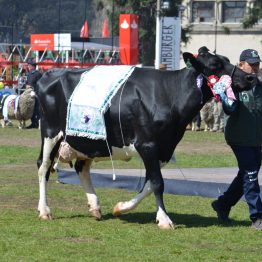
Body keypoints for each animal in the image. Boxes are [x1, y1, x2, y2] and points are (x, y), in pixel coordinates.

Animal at [36, 47, 256, 229]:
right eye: (215, 65)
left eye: (228, 60)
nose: (251, 78)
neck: (170, 94)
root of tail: (48, 74)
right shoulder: (147, 144)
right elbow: (158, 182)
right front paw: (165, 220)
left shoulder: (164, 148)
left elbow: (150, 183)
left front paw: (121, 207)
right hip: (50, 132)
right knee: (43, 167)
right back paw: (45, 210)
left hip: (88, 141)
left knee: (81, 168)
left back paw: (95, 207)